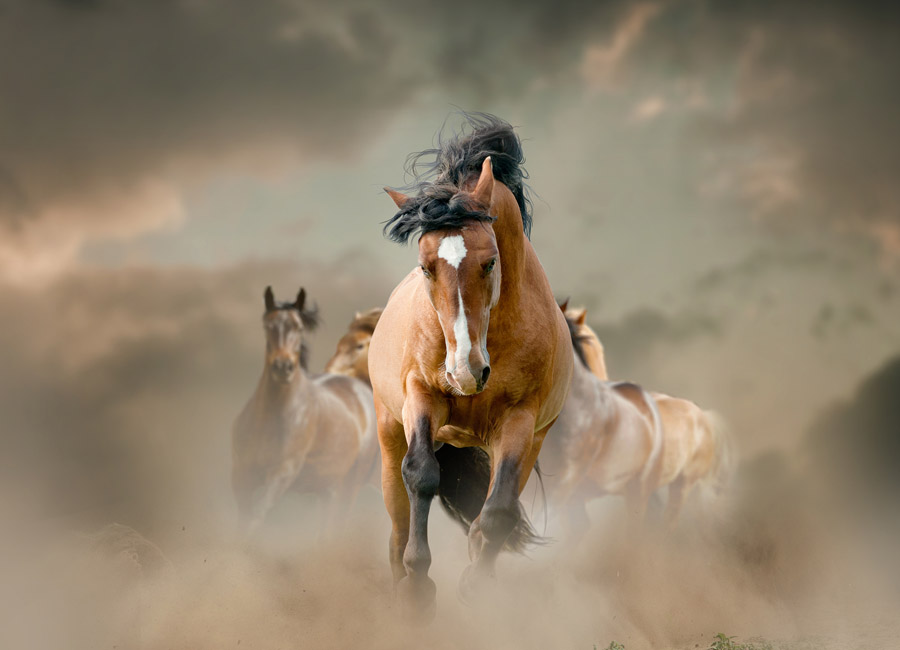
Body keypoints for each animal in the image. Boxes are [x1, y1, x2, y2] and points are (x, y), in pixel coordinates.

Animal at [232, 286, 380, 536]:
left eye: (299, 328)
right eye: (268, 325)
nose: (283, 367)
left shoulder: (283, 473)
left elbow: (257, 516)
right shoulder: (241, 476)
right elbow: (244, 521)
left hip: (349, 488)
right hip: (328, 489)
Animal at [370, 114, 572, 616]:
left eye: (490, 262)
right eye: (426, 267)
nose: (465, 372)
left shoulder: (519, 421)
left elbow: (497, 512)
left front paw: (474, 586)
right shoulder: (421, 399)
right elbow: (422, 475)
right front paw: (418, 586)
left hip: (530, 442)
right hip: (388, 434)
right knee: (397, 519)